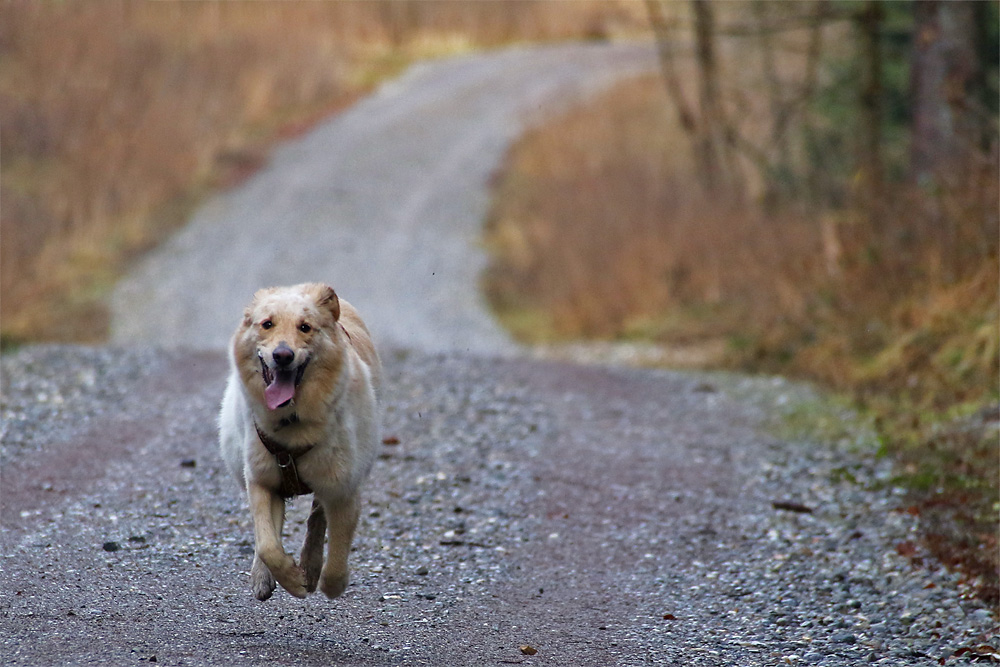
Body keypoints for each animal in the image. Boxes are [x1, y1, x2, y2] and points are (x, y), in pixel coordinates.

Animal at [219, 282, 378, 600]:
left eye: (305, 327)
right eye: (267, 324)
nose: (283, 355)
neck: (292, 423)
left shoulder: (344, 491)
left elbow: (337, 555)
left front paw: (327, 582)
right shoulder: (261, 482)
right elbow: (268, 545)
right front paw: (290, 579)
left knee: (317, 518)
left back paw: (311, 566)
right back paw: (264, 576)